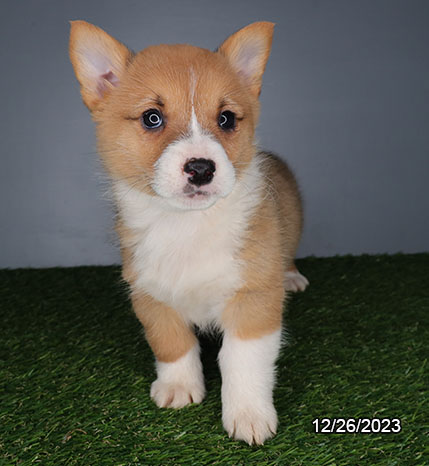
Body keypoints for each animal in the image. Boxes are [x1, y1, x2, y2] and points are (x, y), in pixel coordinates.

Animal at [68, 20, 308, 444]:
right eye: (152, 117)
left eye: (226, 119)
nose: (201, 168)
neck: (187, 225)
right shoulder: (150, 295)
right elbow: (172, 344)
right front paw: (179, 388)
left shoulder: (254, 300)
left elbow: (242, 360)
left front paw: (249, 415)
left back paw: (292, 276)